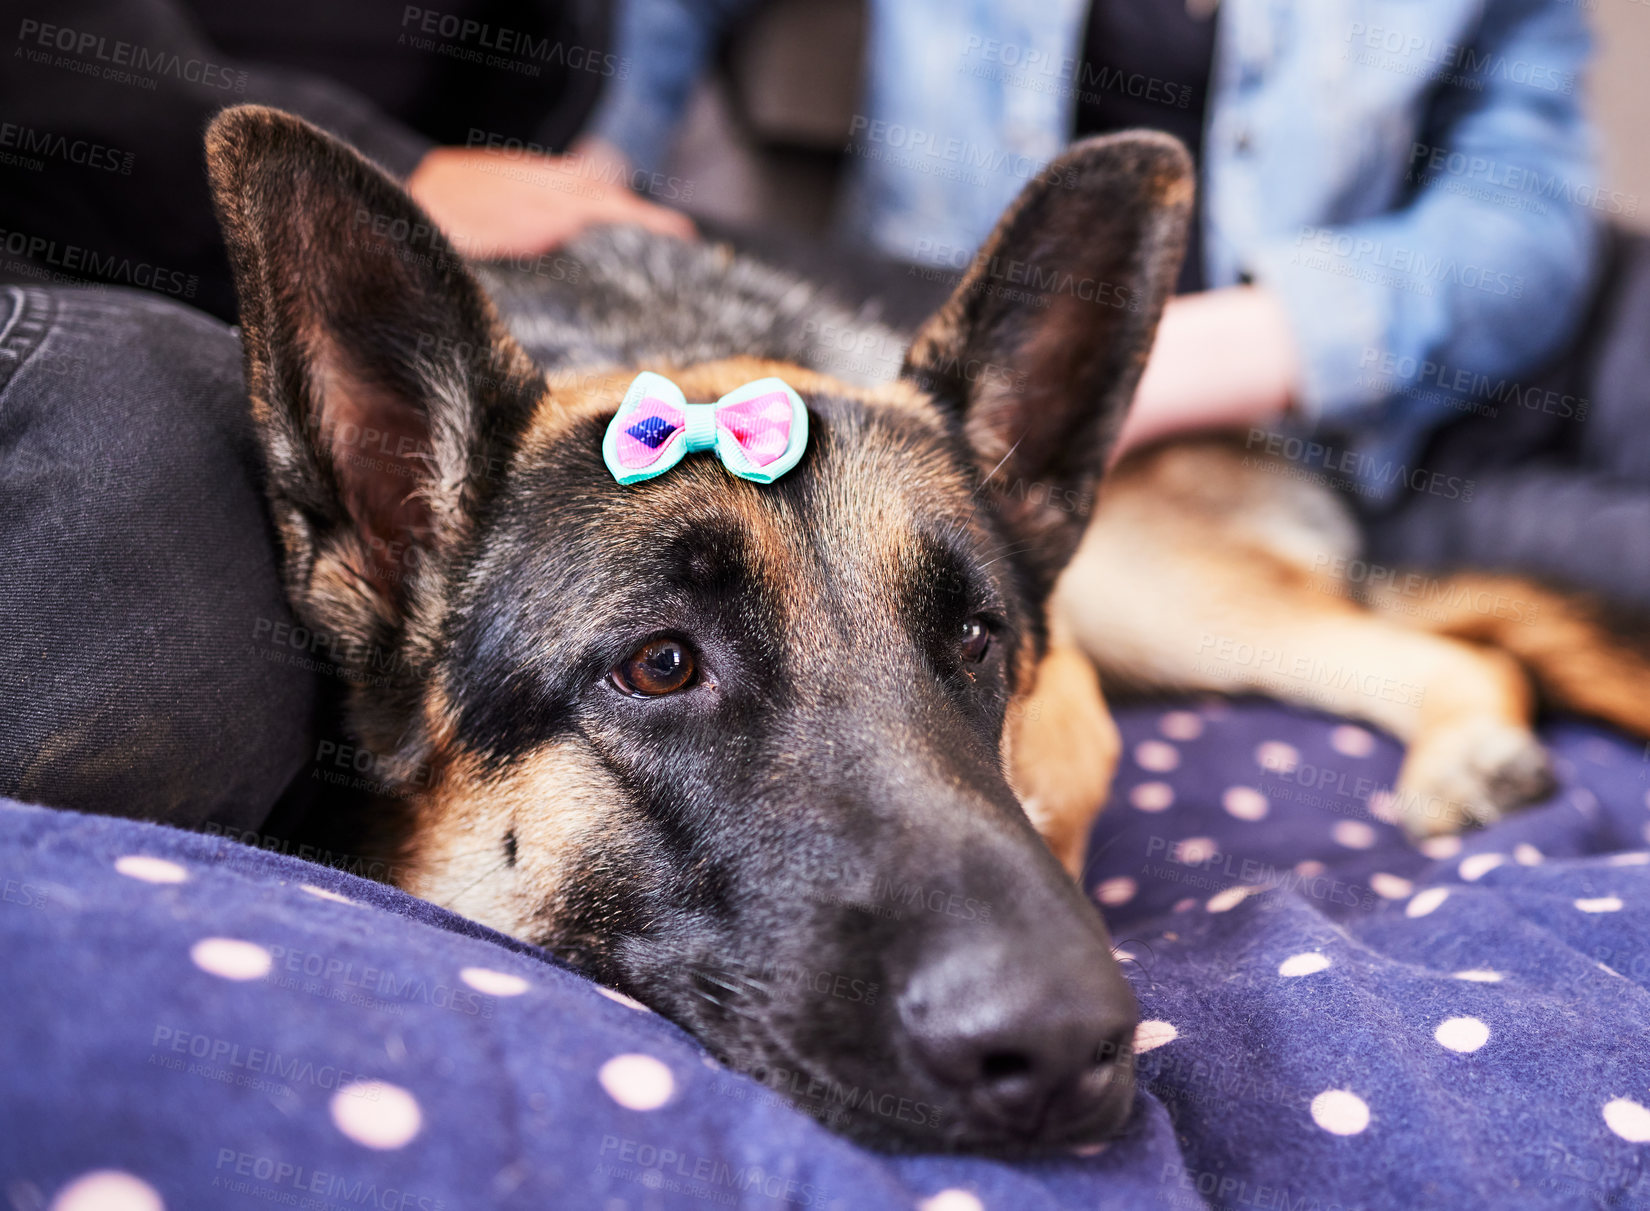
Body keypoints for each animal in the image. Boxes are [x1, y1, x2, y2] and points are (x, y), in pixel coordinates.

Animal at [202, 106, 1650, 1154]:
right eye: (660, 664)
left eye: (975, 639)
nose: (1064, 1047)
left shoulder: (1069, 712)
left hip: (1151, 593)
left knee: (1441, 647)